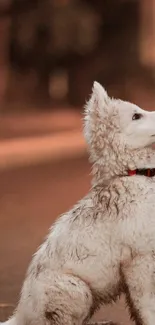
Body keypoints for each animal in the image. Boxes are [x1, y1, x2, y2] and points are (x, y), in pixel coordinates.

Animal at [2, 83, 155, 324]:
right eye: (136, 116)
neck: (133, 173)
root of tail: (21, 316)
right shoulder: (139, 261)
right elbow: (148, 306)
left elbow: (137, 309)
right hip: (76, 289)